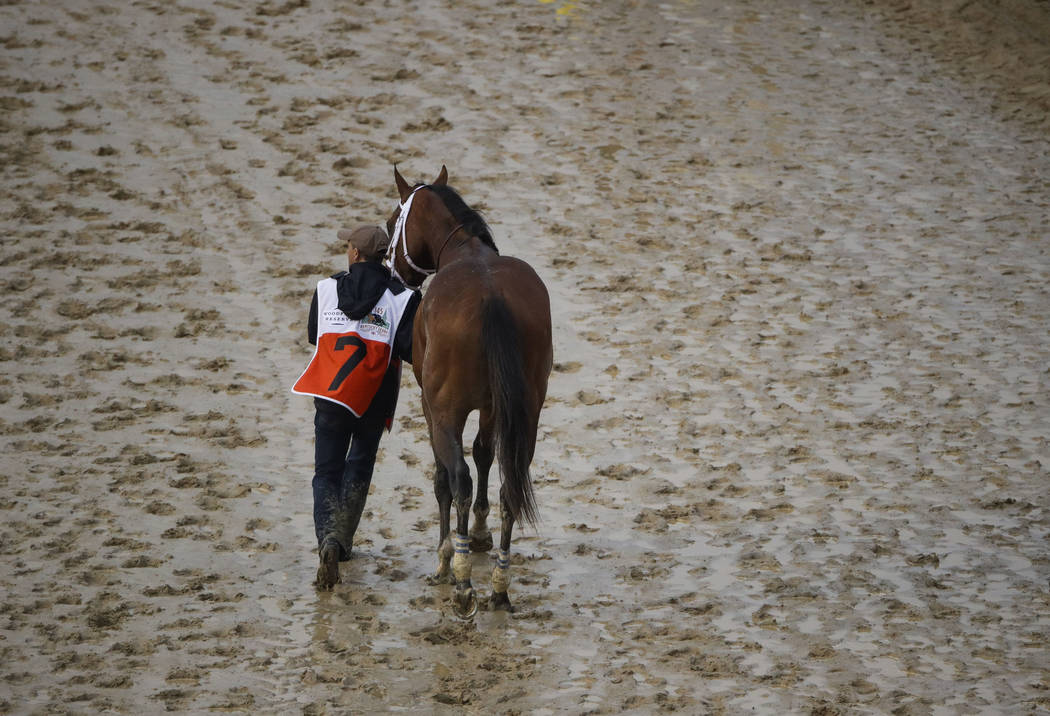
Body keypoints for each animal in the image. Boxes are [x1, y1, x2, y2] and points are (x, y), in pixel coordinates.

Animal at [384, 164, 550, 617]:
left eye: (390, 223)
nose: (389, 269)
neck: (468, 252)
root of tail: (491, 297)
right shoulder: (495, 409)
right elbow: (484, 454)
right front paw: (477, 534)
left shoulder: (432, 408)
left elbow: (446, 477)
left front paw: (447, 555)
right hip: (527, 413)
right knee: (511, 483)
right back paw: (499, 584)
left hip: (445, 412)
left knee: (457, 478)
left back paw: (460, 582)